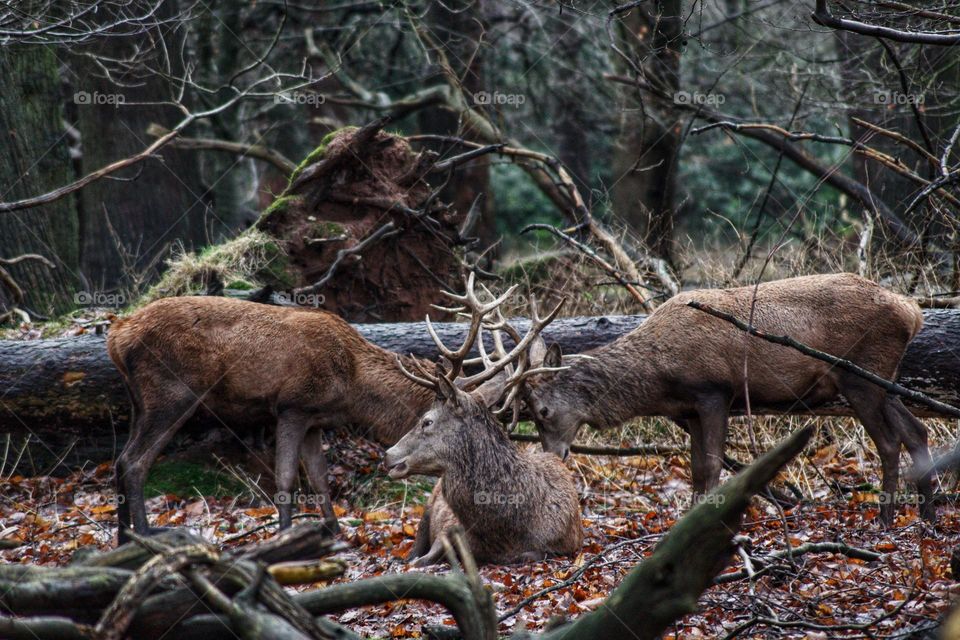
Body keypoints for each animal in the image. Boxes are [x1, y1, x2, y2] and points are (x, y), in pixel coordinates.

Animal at [105, 274, 524, 540]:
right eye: (426, 419)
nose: (393, 457)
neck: (351, 384)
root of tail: (117, 335)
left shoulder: (316, 420)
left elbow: (321, 479)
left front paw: (335, 534)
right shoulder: (292, 406)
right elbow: (287, 477)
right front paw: (286, 536)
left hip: (139, 400)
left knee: (120, 459)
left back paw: (124, 538)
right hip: (171, 394)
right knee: (135, 461)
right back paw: (145, 533)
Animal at [384, 288, 580, 564]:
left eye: (427, 421)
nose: (388, 454)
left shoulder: (567, 542)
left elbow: (531, 554)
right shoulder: (447, 527)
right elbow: (425, 558)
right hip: (428, 509)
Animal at [520, 274, 932, 524]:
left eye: (542, 411)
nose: (553, 457)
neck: (660, 376)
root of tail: (912, 311)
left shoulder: (714, 392)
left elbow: (711, 466)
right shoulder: (689, 410)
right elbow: (695, 469)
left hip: (861, 375)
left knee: (889, 441)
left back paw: (885, 518)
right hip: (883, 379)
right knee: (917, 431)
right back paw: (926, 515)